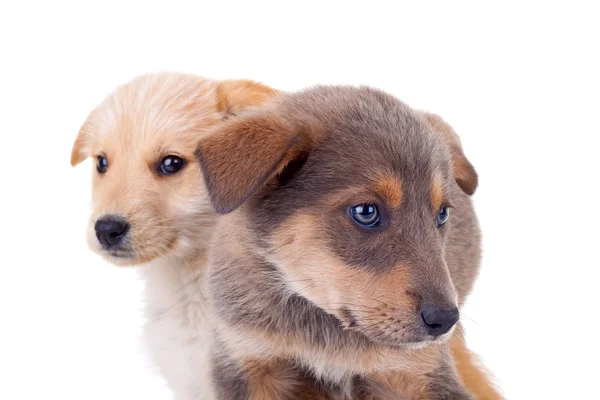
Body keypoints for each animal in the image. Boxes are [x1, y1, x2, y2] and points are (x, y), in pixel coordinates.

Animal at [197, 86, 502, 398]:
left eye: (442, 214)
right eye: (366, 212)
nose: (445, 320)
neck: (324, 328)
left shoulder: (419, 370)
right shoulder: (247, 358)